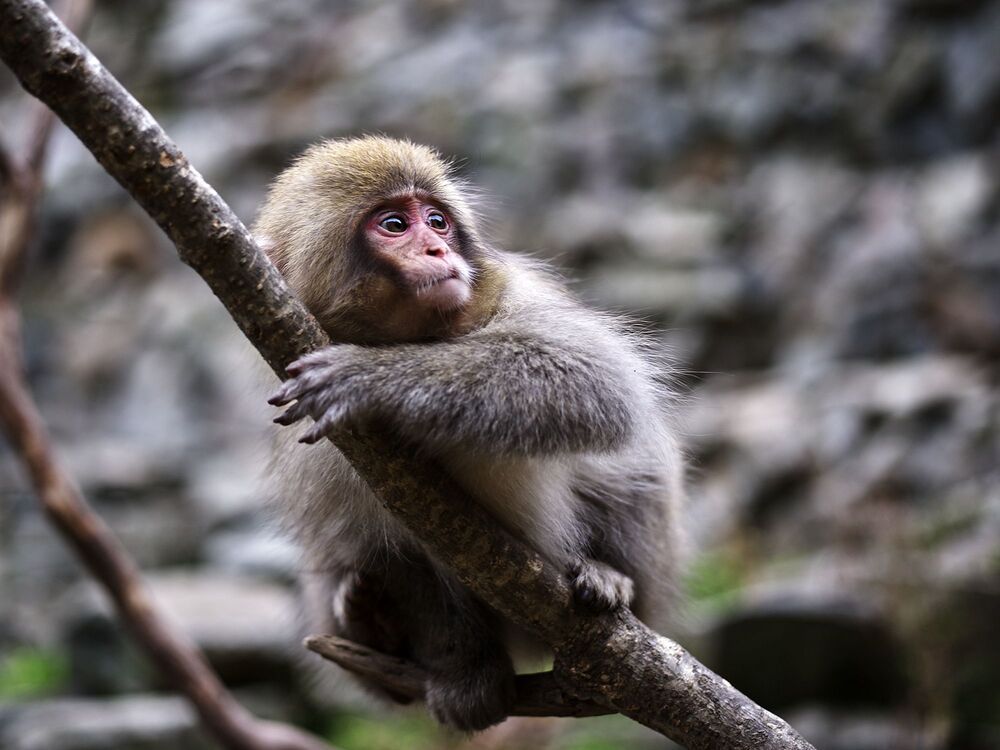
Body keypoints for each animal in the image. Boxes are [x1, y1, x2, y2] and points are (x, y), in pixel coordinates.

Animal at [255, 136, 684, 732]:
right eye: (394, 224)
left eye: (437, 221)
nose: (439, 250)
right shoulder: (324, 437)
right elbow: (389, 549)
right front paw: (466, 672)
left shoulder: (516, 294)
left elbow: (592, 379)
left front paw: (368, 377)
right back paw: (369, 623)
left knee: (632, 468)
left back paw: (611, 579)